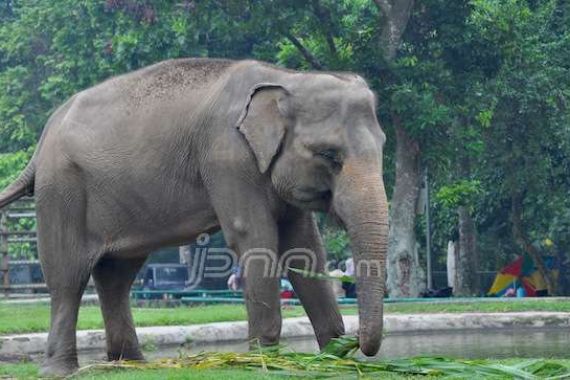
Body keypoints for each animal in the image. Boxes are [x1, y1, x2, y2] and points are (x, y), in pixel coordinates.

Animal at [0, 58, 386, 376]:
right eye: (329, 155)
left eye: (383, 145)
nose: (359, 343)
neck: (286, 78)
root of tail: (43, 139)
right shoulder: (226, 156)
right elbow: (255, 236)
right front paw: (265, 361)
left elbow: (303, 246)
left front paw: (335, 356)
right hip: (62, 190)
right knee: (68, 277)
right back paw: (61, 371)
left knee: (116, 276)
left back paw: (131, 364)